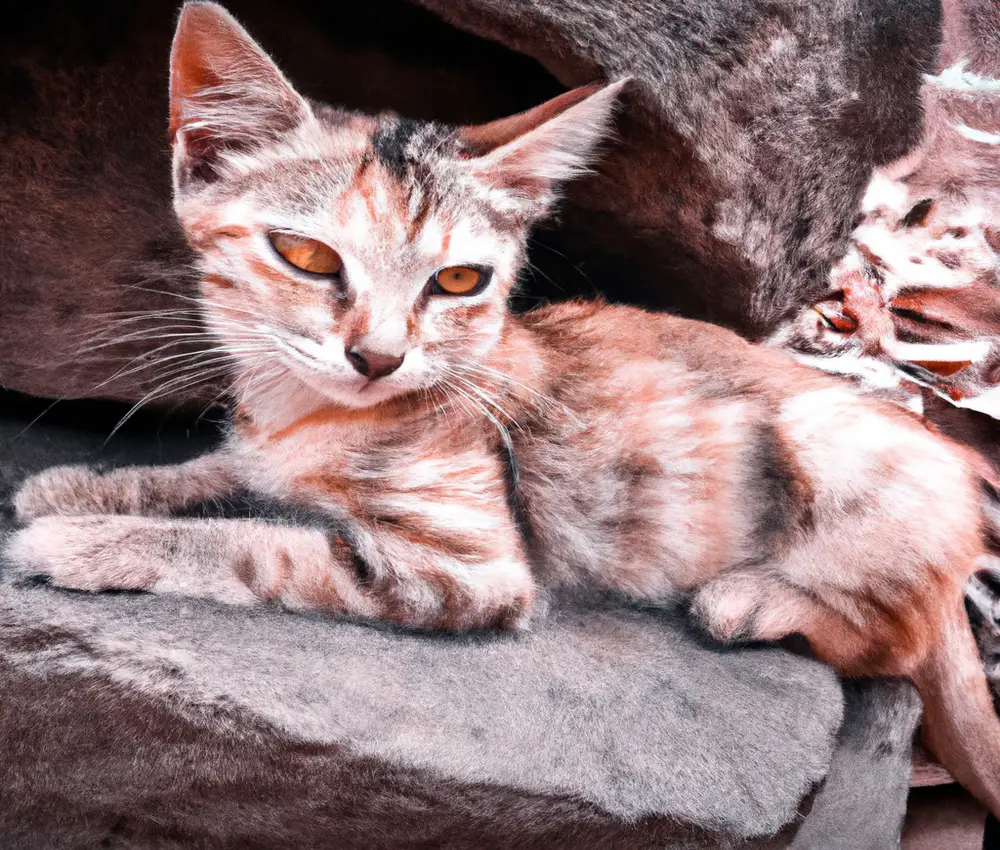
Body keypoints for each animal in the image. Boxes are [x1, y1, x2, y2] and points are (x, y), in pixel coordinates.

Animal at [5, 0, 1000, 816]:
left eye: (458, 282)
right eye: (308, 257)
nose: (378, 358)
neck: (304, 416)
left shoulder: (471, 570)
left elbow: (259, 545)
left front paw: (90, 541)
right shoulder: (262, 449)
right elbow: (217, 470)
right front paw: (83, 487)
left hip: (829, 458)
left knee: (892, 631)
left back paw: (751, 599)